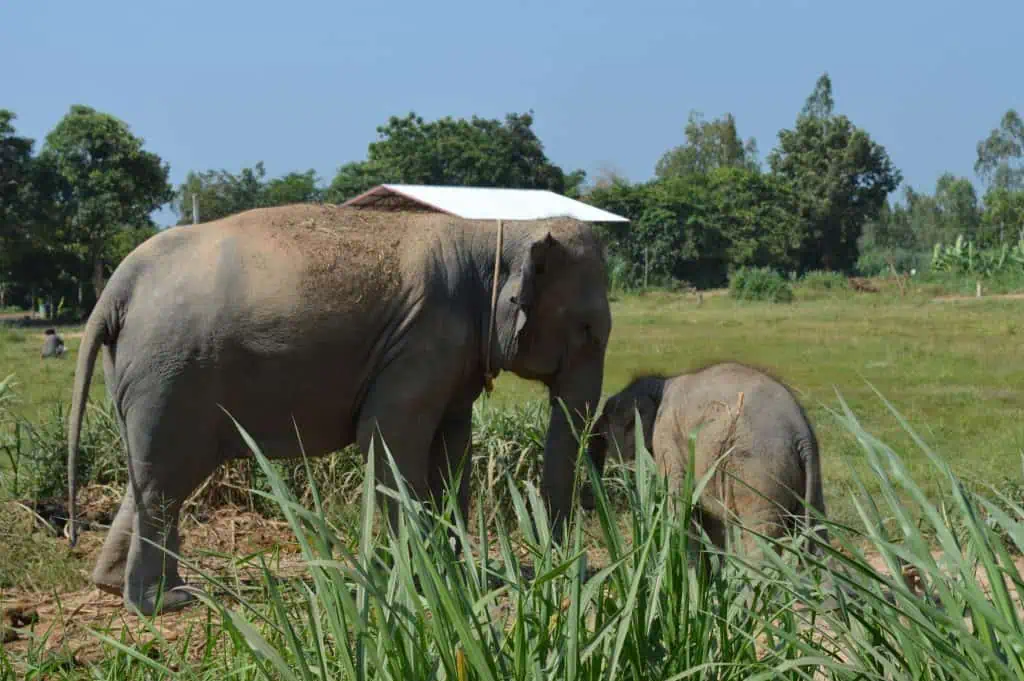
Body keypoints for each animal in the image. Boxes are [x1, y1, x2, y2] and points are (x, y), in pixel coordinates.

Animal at [68, 202, 610, 614]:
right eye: (587, 330)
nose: (564, 564)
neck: (491, 228)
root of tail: (118, 285)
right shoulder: (423, 341)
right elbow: (389, 439)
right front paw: (422, 577)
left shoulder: (453, 354)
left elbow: (452, 447)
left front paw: (452, 569)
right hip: (171, 375)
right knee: (166, 478)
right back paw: (165, 602)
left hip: (140, 374)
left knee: (149, 473)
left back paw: (114, 586)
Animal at [585, 360, 831, 561]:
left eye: (607, 415)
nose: (588, 506)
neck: (661, 383)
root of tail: (801, 435)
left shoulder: (667, 435)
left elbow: (677, 501)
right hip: (809, 477)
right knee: (817, 537)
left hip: (760, 472)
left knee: (760, 537)